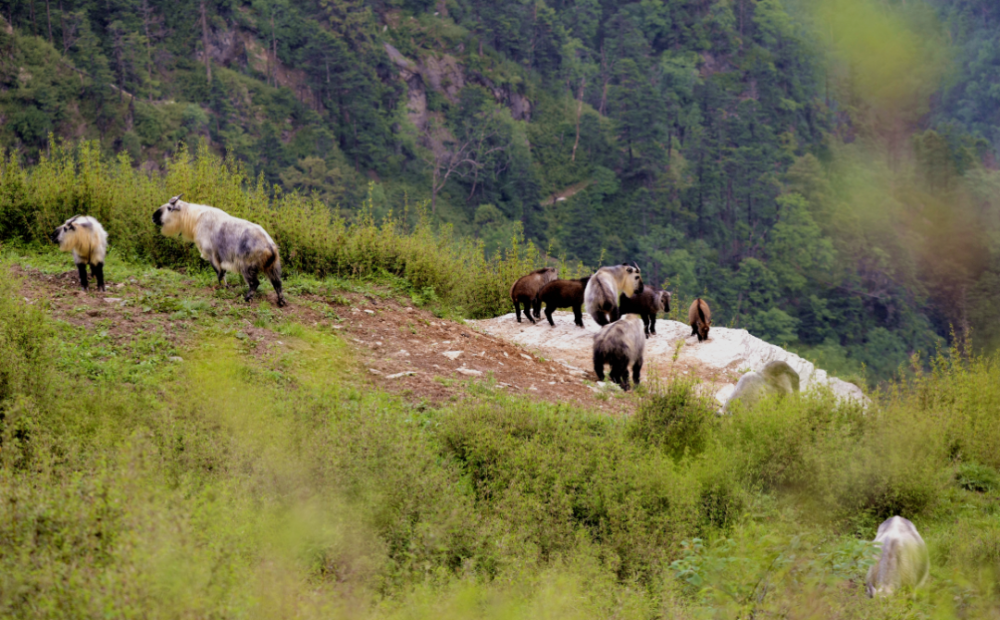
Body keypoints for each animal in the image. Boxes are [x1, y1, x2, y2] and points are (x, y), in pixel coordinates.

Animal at [151, 195, 286, 306]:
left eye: (169, 208)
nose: (153, 217)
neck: (195, 218)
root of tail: (269, 245)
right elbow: (223, 273)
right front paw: (225, 287)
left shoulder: (212, 255)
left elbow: (219, 273)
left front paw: (221, 288)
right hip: (273, 267)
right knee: (277, 283)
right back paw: (281, 302)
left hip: (247, 266)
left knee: (255, 283)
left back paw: (247, 298)